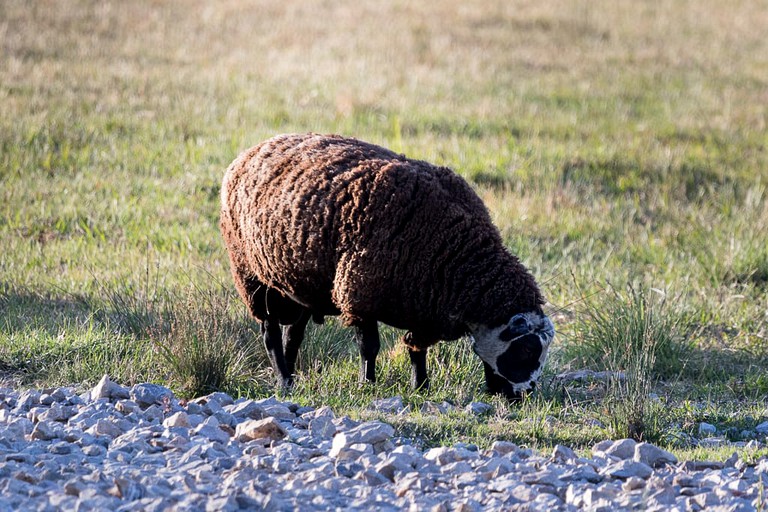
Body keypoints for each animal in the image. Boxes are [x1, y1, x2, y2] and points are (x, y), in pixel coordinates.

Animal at [219, 132, 556, 400]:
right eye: (526, 350)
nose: (523, 396)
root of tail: (253, 149)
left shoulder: (426, 310)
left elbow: (416, 349)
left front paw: (421, 387)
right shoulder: (360, 294)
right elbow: (370, 347)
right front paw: (368, 383)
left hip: (299, 285)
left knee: (293, 335)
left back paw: (291, 376)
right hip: (253, 278)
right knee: (271, 334)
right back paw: (283, 380)